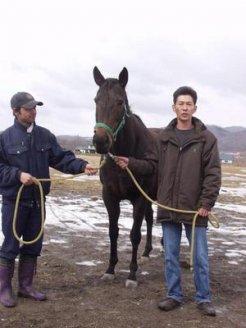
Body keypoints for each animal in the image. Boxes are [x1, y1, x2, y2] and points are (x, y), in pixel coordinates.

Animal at [92, 66, 158, 288]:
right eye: (96, 99)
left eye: (120, 102)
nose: (100, 141)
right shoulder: (109, 196)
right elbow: (113, 232)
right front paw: (110, 269)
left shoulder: (139, 197)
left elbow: (134, 235)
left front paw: (132, 274)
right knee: (150, 218)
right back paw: (146, 253)